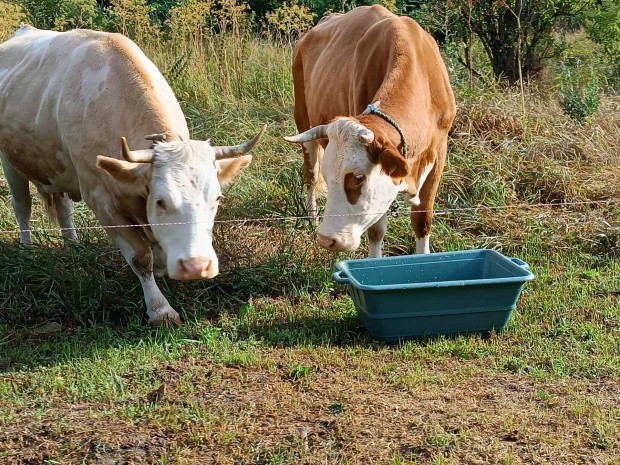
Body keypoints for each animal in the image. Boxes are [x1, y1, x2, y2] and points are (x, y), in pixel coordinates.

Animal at [286, 3, 456, 256]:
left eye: (358, 178)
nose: (326, 240)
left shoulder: (439, 152)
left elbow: (422, 219)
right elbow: (376, 230)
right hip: (303, 119)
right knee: (310, 173)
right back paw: (312, 218)